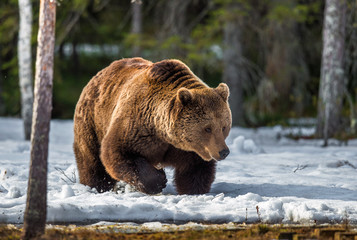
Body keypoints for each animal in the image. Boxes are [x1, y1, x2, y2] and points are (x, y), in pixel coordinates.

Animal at [73, 57, 232, 195]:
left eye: (224, 127)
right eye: (207, 128)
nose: (224, 152)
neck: (162, 131)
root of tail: (98, 75)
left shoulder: (189, 149)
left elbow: (195, 169)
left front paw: (193, 191)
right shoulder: (136, 125)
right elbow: (116, 152)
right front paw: (158, 180)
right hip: (92, 121)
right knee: (91, 161)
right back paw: (97, 187)